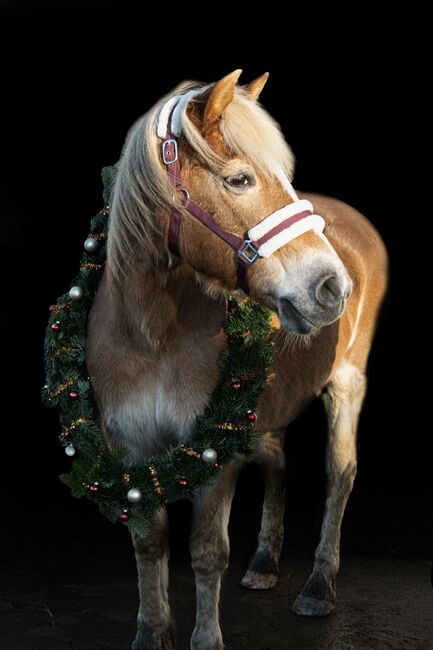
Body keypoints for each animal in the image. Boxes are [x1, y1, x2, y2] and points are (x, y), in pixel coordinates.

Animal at [87, 71, 388, 648]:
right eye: (240, 179)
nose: (331, 287)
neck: (151, 336)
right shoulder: (129, 450)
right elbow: (148, 544)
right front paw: (151, 632)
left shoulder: (213, 454)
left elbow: (207, 553)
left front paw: (205, 639)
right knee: (276, 463)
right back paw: (266, 563)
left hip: (346, 382)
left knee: (339, 474)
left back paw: (319, 587)